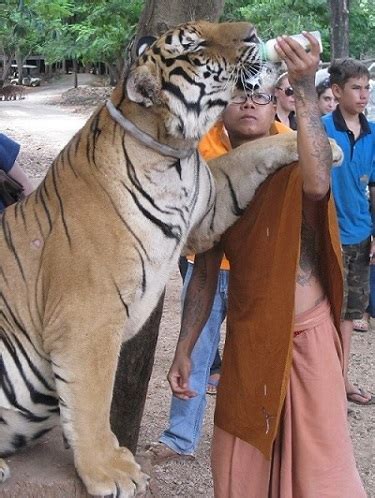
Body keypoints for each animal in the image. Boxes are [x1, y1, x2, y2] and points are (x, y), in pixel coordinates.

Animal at [0, 19, 342, 498]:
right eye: (197, 45)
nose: (255, 32)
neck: (173, 153)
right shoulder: (88, 315)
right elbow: (90, 398)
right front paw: (108, 470)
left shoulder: (212, 201)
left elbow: (250, 153)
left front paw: (322, 146)